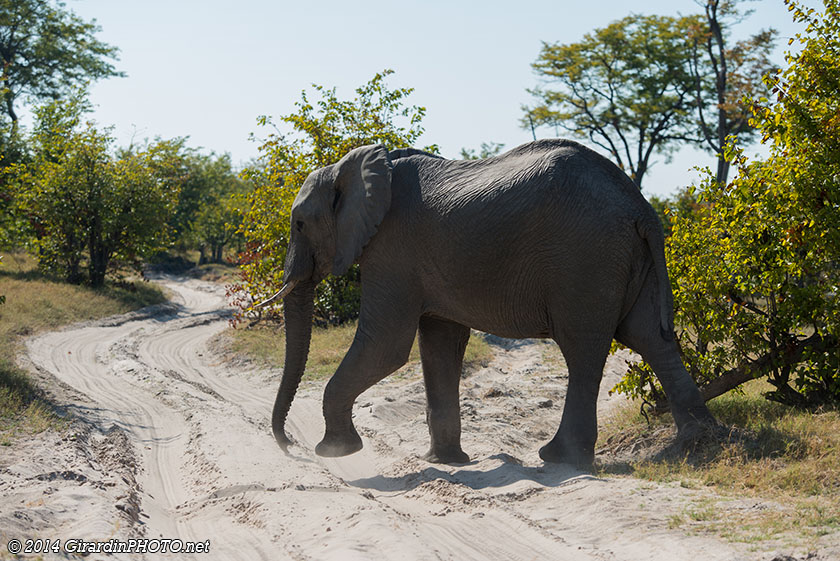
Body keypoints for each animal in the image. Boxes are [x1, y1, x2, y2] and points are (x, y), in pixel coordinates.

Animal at [267, 139, 716, 467]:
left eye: (299, 224)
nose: (291, 447)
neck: (357, 166)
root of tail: (641, 205)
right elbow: (440, 343)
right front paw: (446, 462)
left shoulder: (391, 249)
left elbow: (386, 345)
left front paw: (335, 451)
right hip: (626, 258)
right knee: (652, 338)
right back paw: (699, 444)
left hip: (587, 259)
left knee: (582, 349)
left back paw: (560, 460)